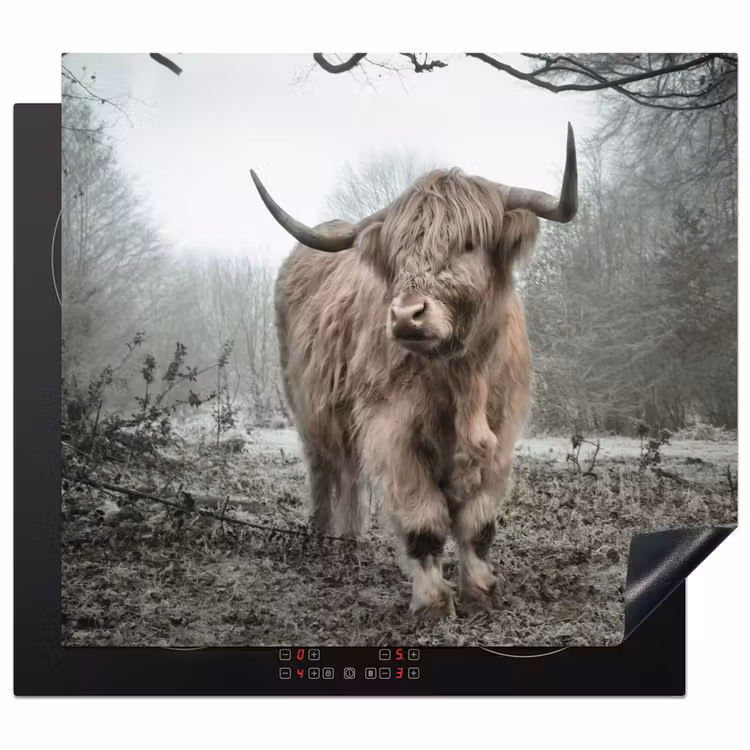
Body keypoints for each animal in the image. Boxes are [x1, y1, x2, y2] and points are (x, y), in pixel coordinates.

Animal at [250, 125, 578, 619]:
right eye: (399, 252)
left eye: (468, 244)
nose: (406, 316)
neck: (461, 377)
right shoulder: (392, 431)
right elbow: (424, 522)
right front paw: (432, 603)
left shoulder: (501, 433)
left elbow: (478, 524)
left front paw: (480, 591)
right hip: (308, 407)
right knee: (324, 468)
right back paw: (323, 536)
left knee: (350, 472)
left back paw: (351, 538)